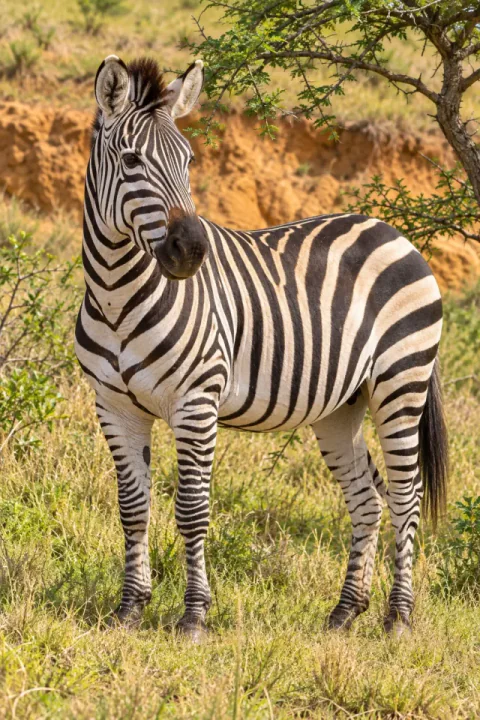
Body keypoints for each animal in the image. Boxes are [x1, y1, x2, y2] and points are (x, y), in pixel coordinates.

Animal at [75, 54, 448, 641]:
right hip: (342, 405)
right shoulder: (114, 407)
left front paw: (194, 615)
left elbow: (192, 510)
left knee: (406, 498)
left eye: (188, 160)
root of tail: (391, 231)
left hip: (401, 384)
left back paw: (398, 618)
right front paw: (129, 609)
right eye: (132, 161)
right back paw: (344, 612)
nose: (192, 250)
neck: (117, 295)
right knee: (367, 498)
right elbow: (133, 508)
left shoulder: (196, 403)